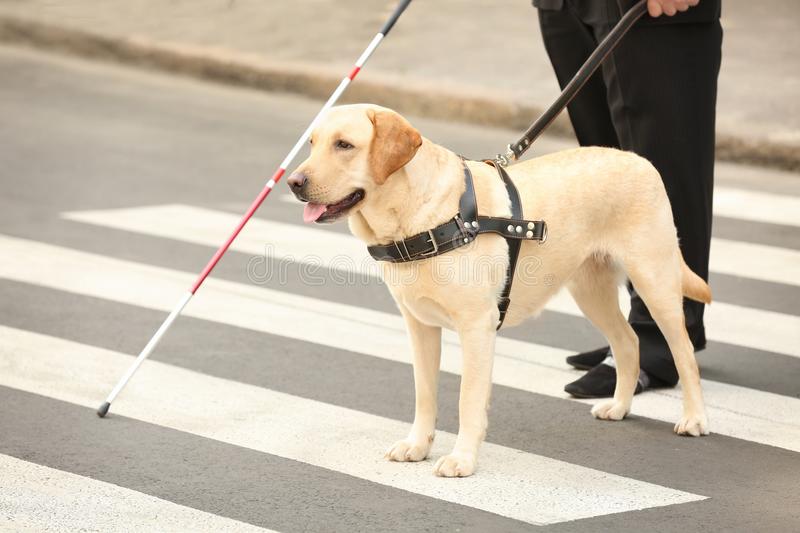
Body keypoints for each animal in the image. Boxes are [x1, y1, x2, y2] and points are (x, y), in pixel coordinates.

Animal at [290, 104, 712, 478]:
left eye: (344, 145)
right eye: (311, 143)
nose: (293, 183)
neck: (420, 218)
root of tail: (638, 160)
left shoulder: (477, 327)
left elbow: (467, 399)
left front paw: (461, 460)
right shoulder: (419, 325)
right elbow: (424, 393)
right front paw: (418, 445)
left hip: (654, 279)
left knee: (682, 351)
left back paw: (694, 418)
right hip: (589, 289)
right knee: (627, 341)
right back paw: (620, 405)